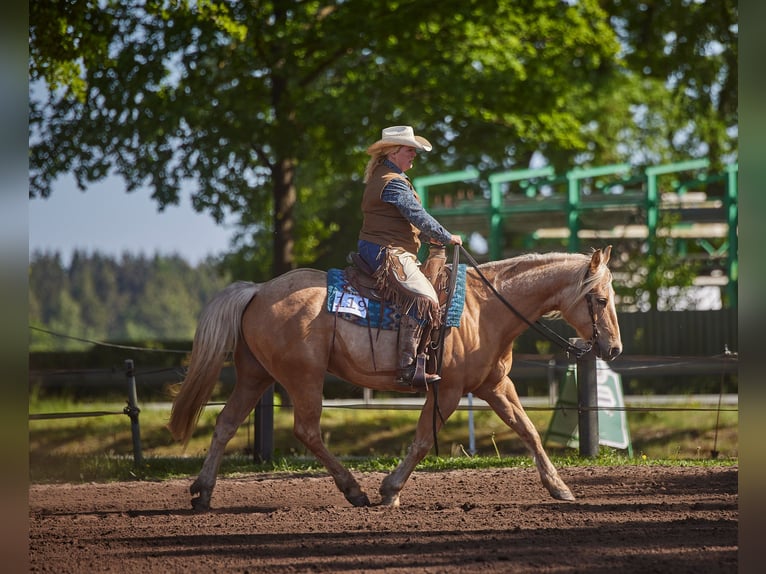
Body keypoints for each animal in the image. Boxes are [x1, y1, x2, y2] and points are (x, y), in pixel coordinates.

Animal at [168, 246, 622, 509]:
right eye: (600, 299)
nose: (614, 349)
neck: (484, 308)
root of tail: (258, 290)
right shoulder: (448, 391)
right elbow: (421, 441)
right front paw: (390, 490)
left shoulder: (495, 386)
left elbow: (528, 431)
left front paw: (559, 487)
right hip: (303, 379)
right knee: (307, 430)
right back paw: (354, 490)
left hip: (255, 376)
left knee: (226, 423)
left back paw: (203, 492)